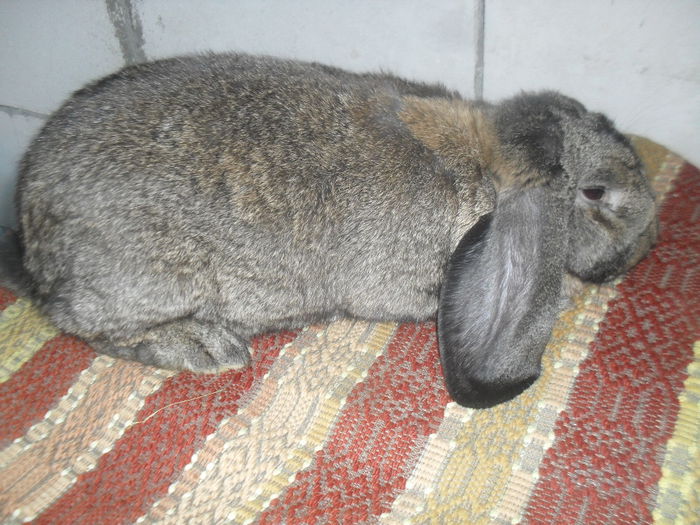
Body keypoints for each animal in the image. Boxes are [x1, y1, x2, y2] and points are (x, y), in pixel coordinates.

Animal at [14, 52, 657, 408]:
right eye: (596, 193)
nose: (647, 245)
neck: (486, 160)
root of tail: (29, 234)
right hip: (146, 283)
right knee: (93, 329)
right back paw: (206, 347)